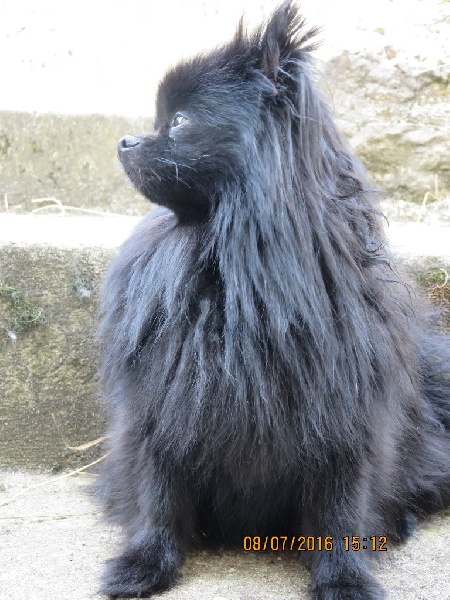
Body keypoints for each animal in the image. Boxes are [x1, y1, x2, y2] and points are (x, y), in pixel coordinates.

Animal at [97, 2, 450, 596]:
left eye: (179, 122)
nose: (124, 141)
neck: (229, 263)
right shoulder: (162, 408)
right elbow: (157, 496)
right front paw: (143, 565)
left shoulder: (343, 422)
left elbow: (340, 511)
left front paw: (345, 578)